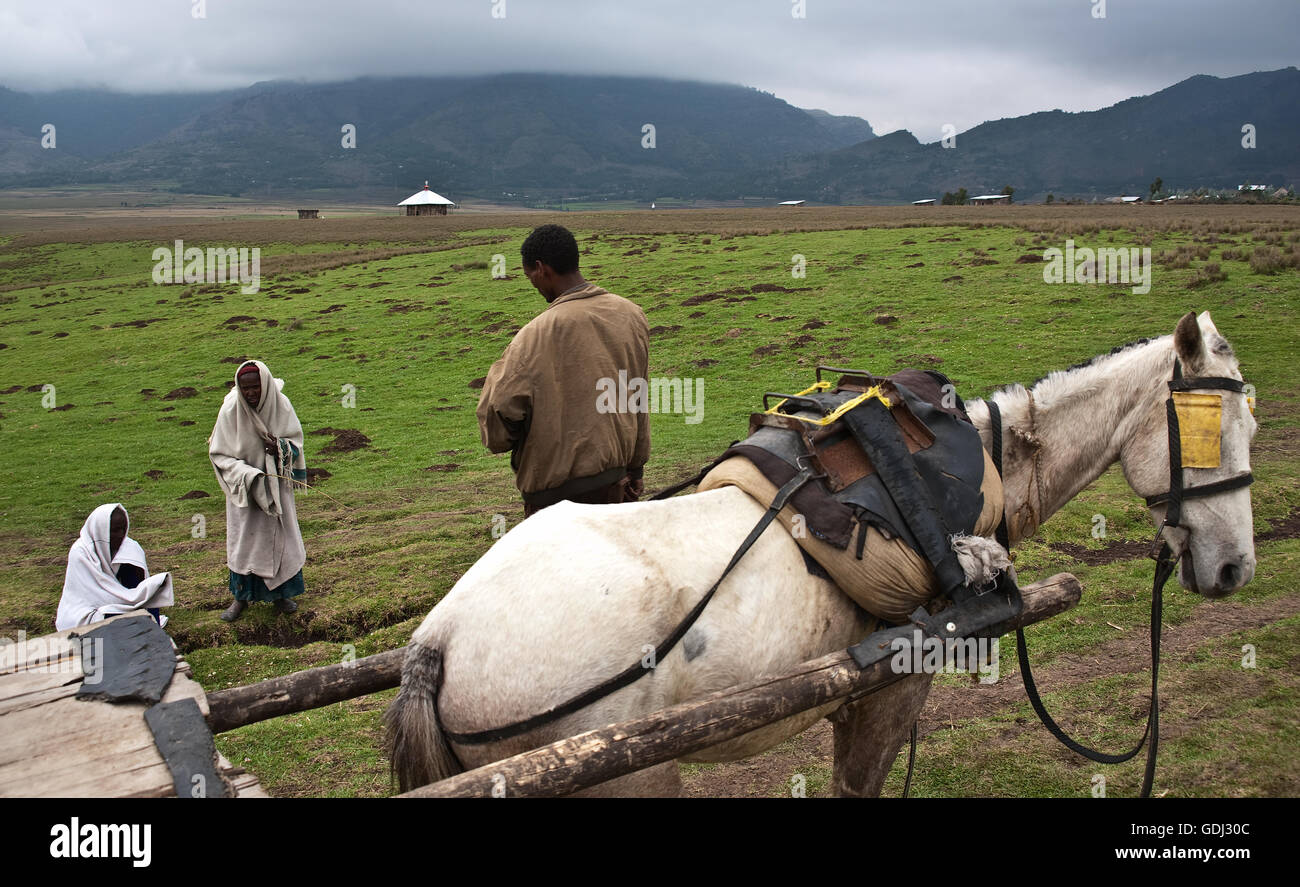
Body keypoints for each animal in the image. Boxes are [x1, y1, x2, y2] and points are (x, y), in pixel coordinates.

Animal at [387, 310, 1258, 795]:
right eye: (1218, 430)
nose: (1234, 570)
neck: (982, 465)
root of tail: (438, 642)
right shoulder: (892, 688)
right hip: (625, 775)